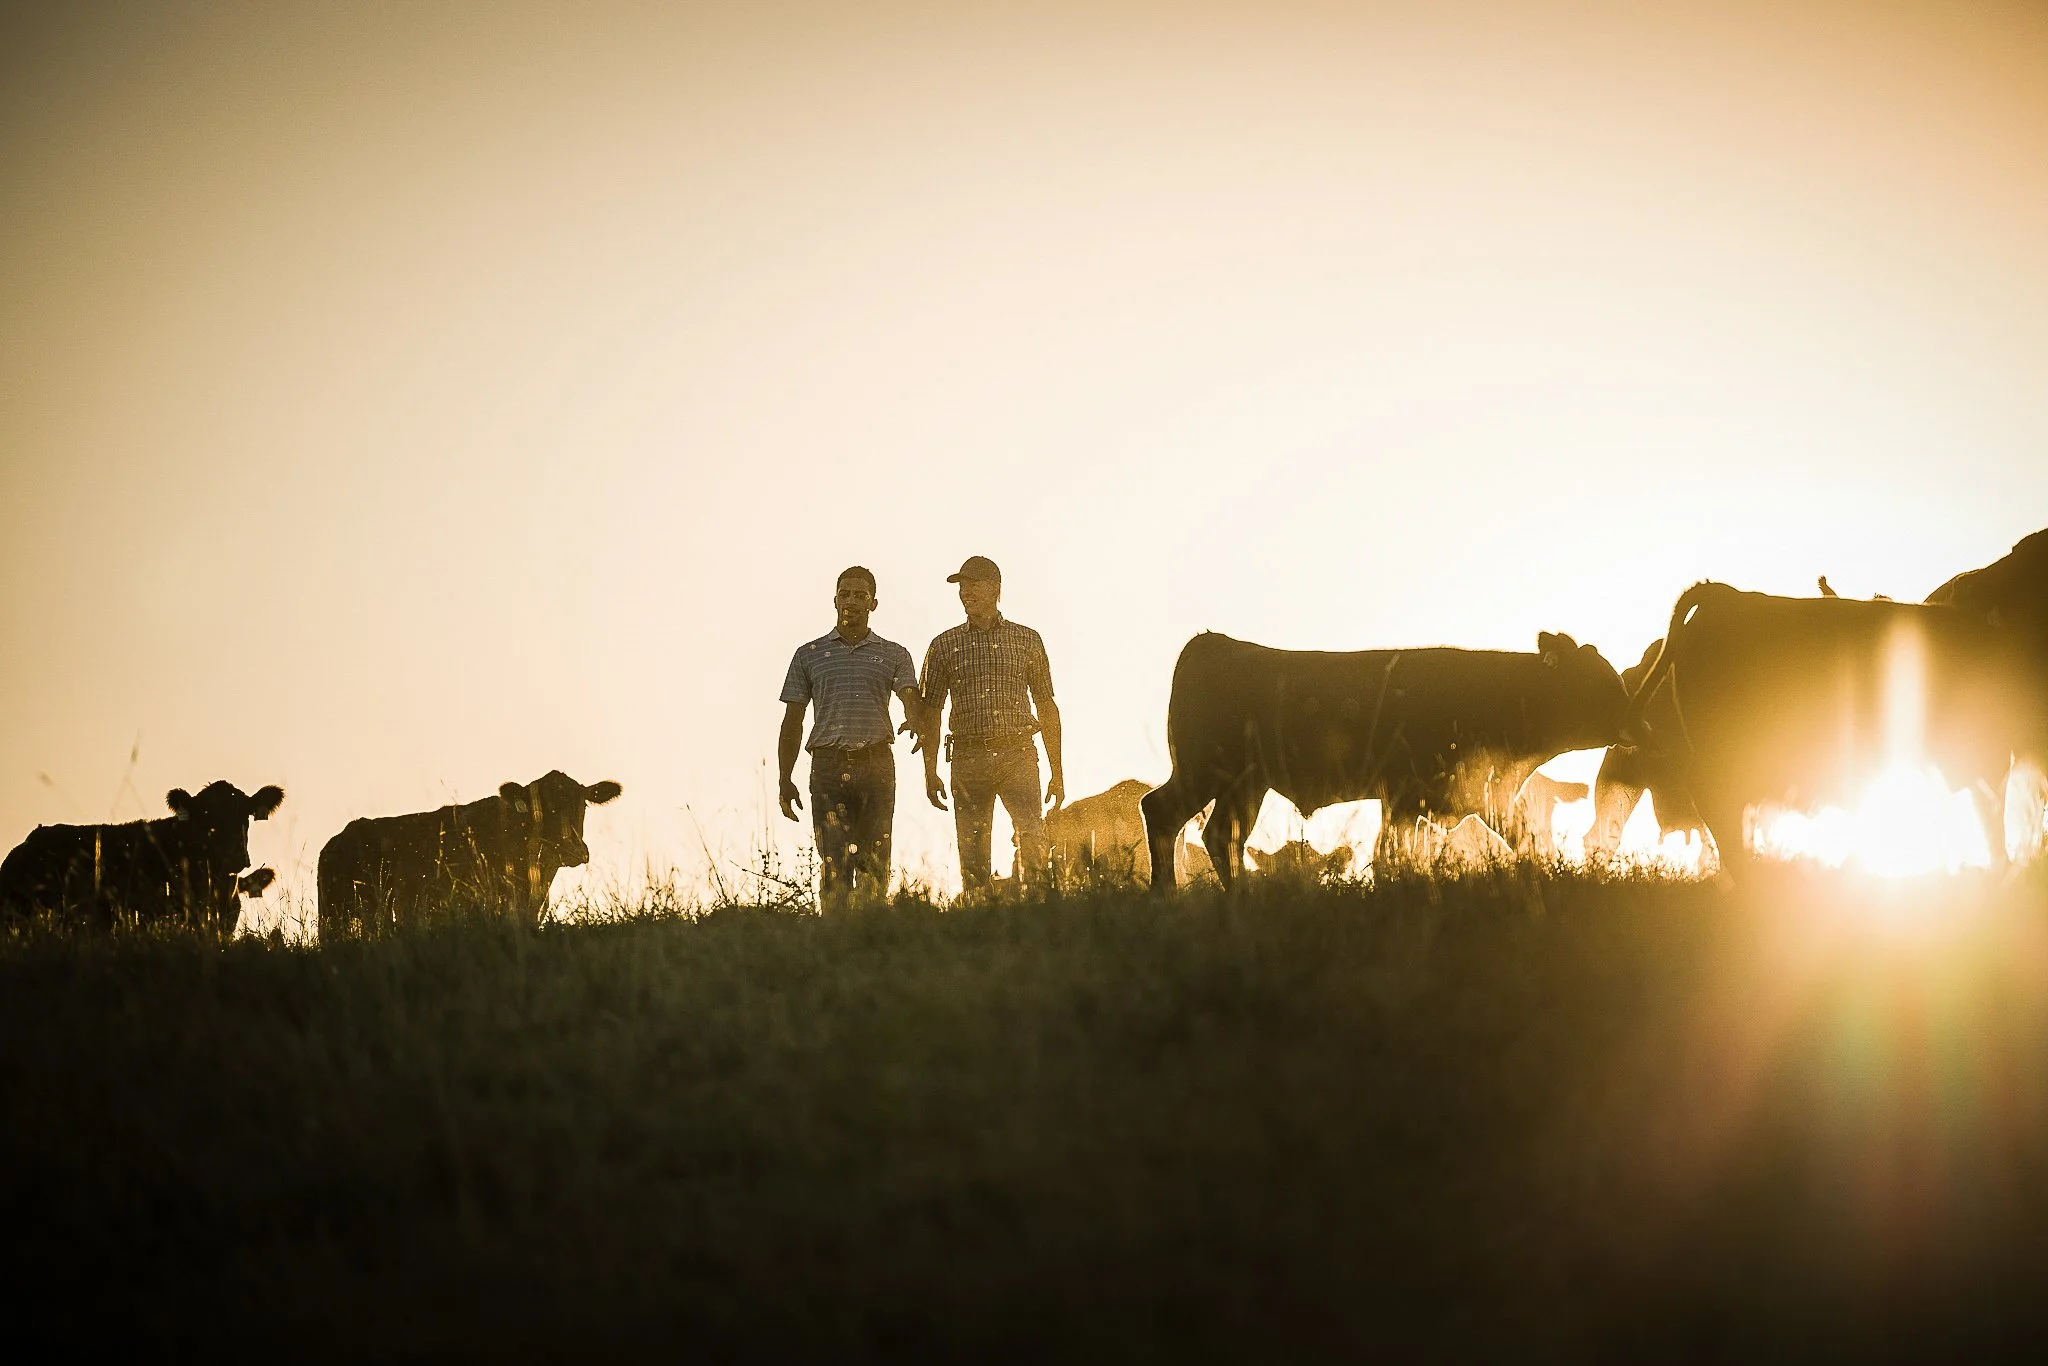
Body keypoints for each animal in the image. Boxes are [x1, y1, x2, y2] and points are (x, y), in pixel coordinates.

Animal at [1141, 631, 1628, 891]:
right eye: (1599, 684)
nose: (1634, 722)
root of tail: (1215, 642)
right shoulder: (1410, 794)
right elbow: (1391, 853)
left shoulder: (1481, 793)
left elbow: (1524, 836)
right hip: (1203, 772)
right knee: (1163, 812)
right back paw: (1166, 894)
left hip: (1244, 784)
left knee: (1221, 834)